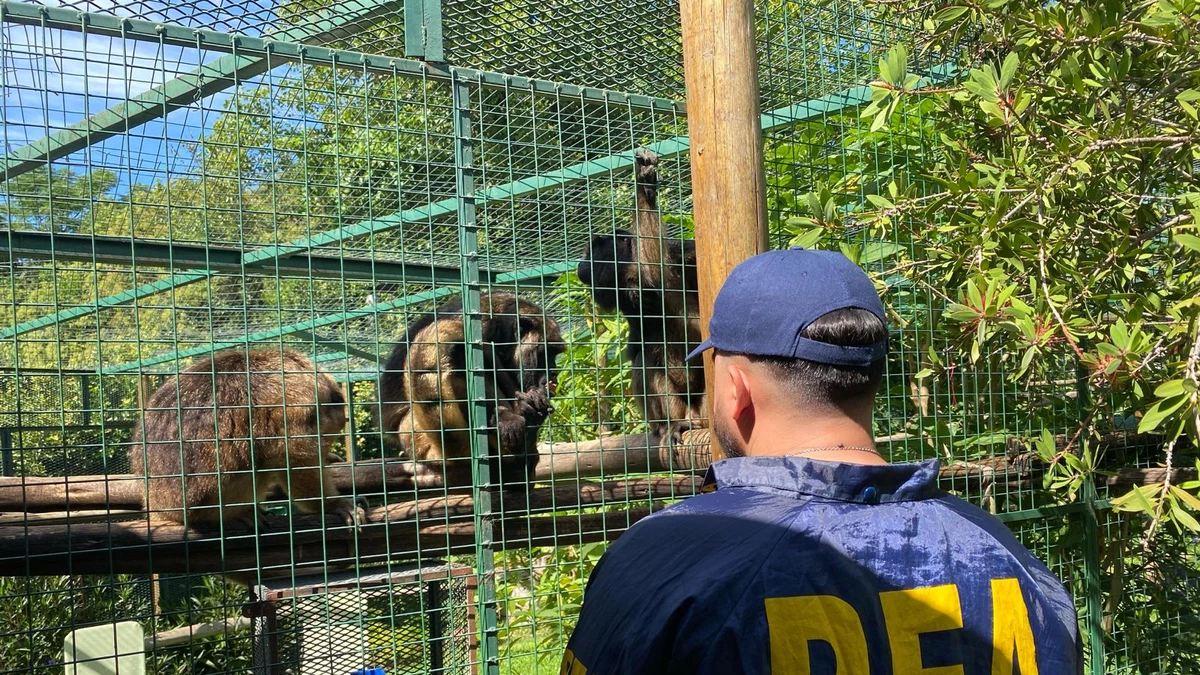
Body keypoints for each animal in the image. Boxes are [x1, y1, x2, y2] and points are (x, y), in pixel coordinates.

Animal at [377, 292, 565, 490]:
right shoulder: (478, 325)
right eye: (545, 353)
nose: (554, 372)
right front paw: (506, 414)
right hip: (417, 438)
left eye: (556, 353)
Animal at [576, 149, 706, 444]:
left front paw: (645, 186)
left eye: (592, 251)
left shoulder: (683, 255)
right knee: (645, 361)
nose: (580, 264)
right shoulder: (628, 298)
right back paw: (671, 424)